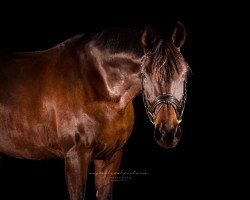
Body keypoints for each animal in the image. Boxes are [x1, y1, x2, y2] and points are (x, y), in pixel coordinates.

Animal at [0, 21, 190, 199]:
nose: (167, 133)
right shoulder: (75, 157)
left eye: (185, 74)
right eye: (145, 74)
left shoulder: (110, 157)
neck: (97, 82)